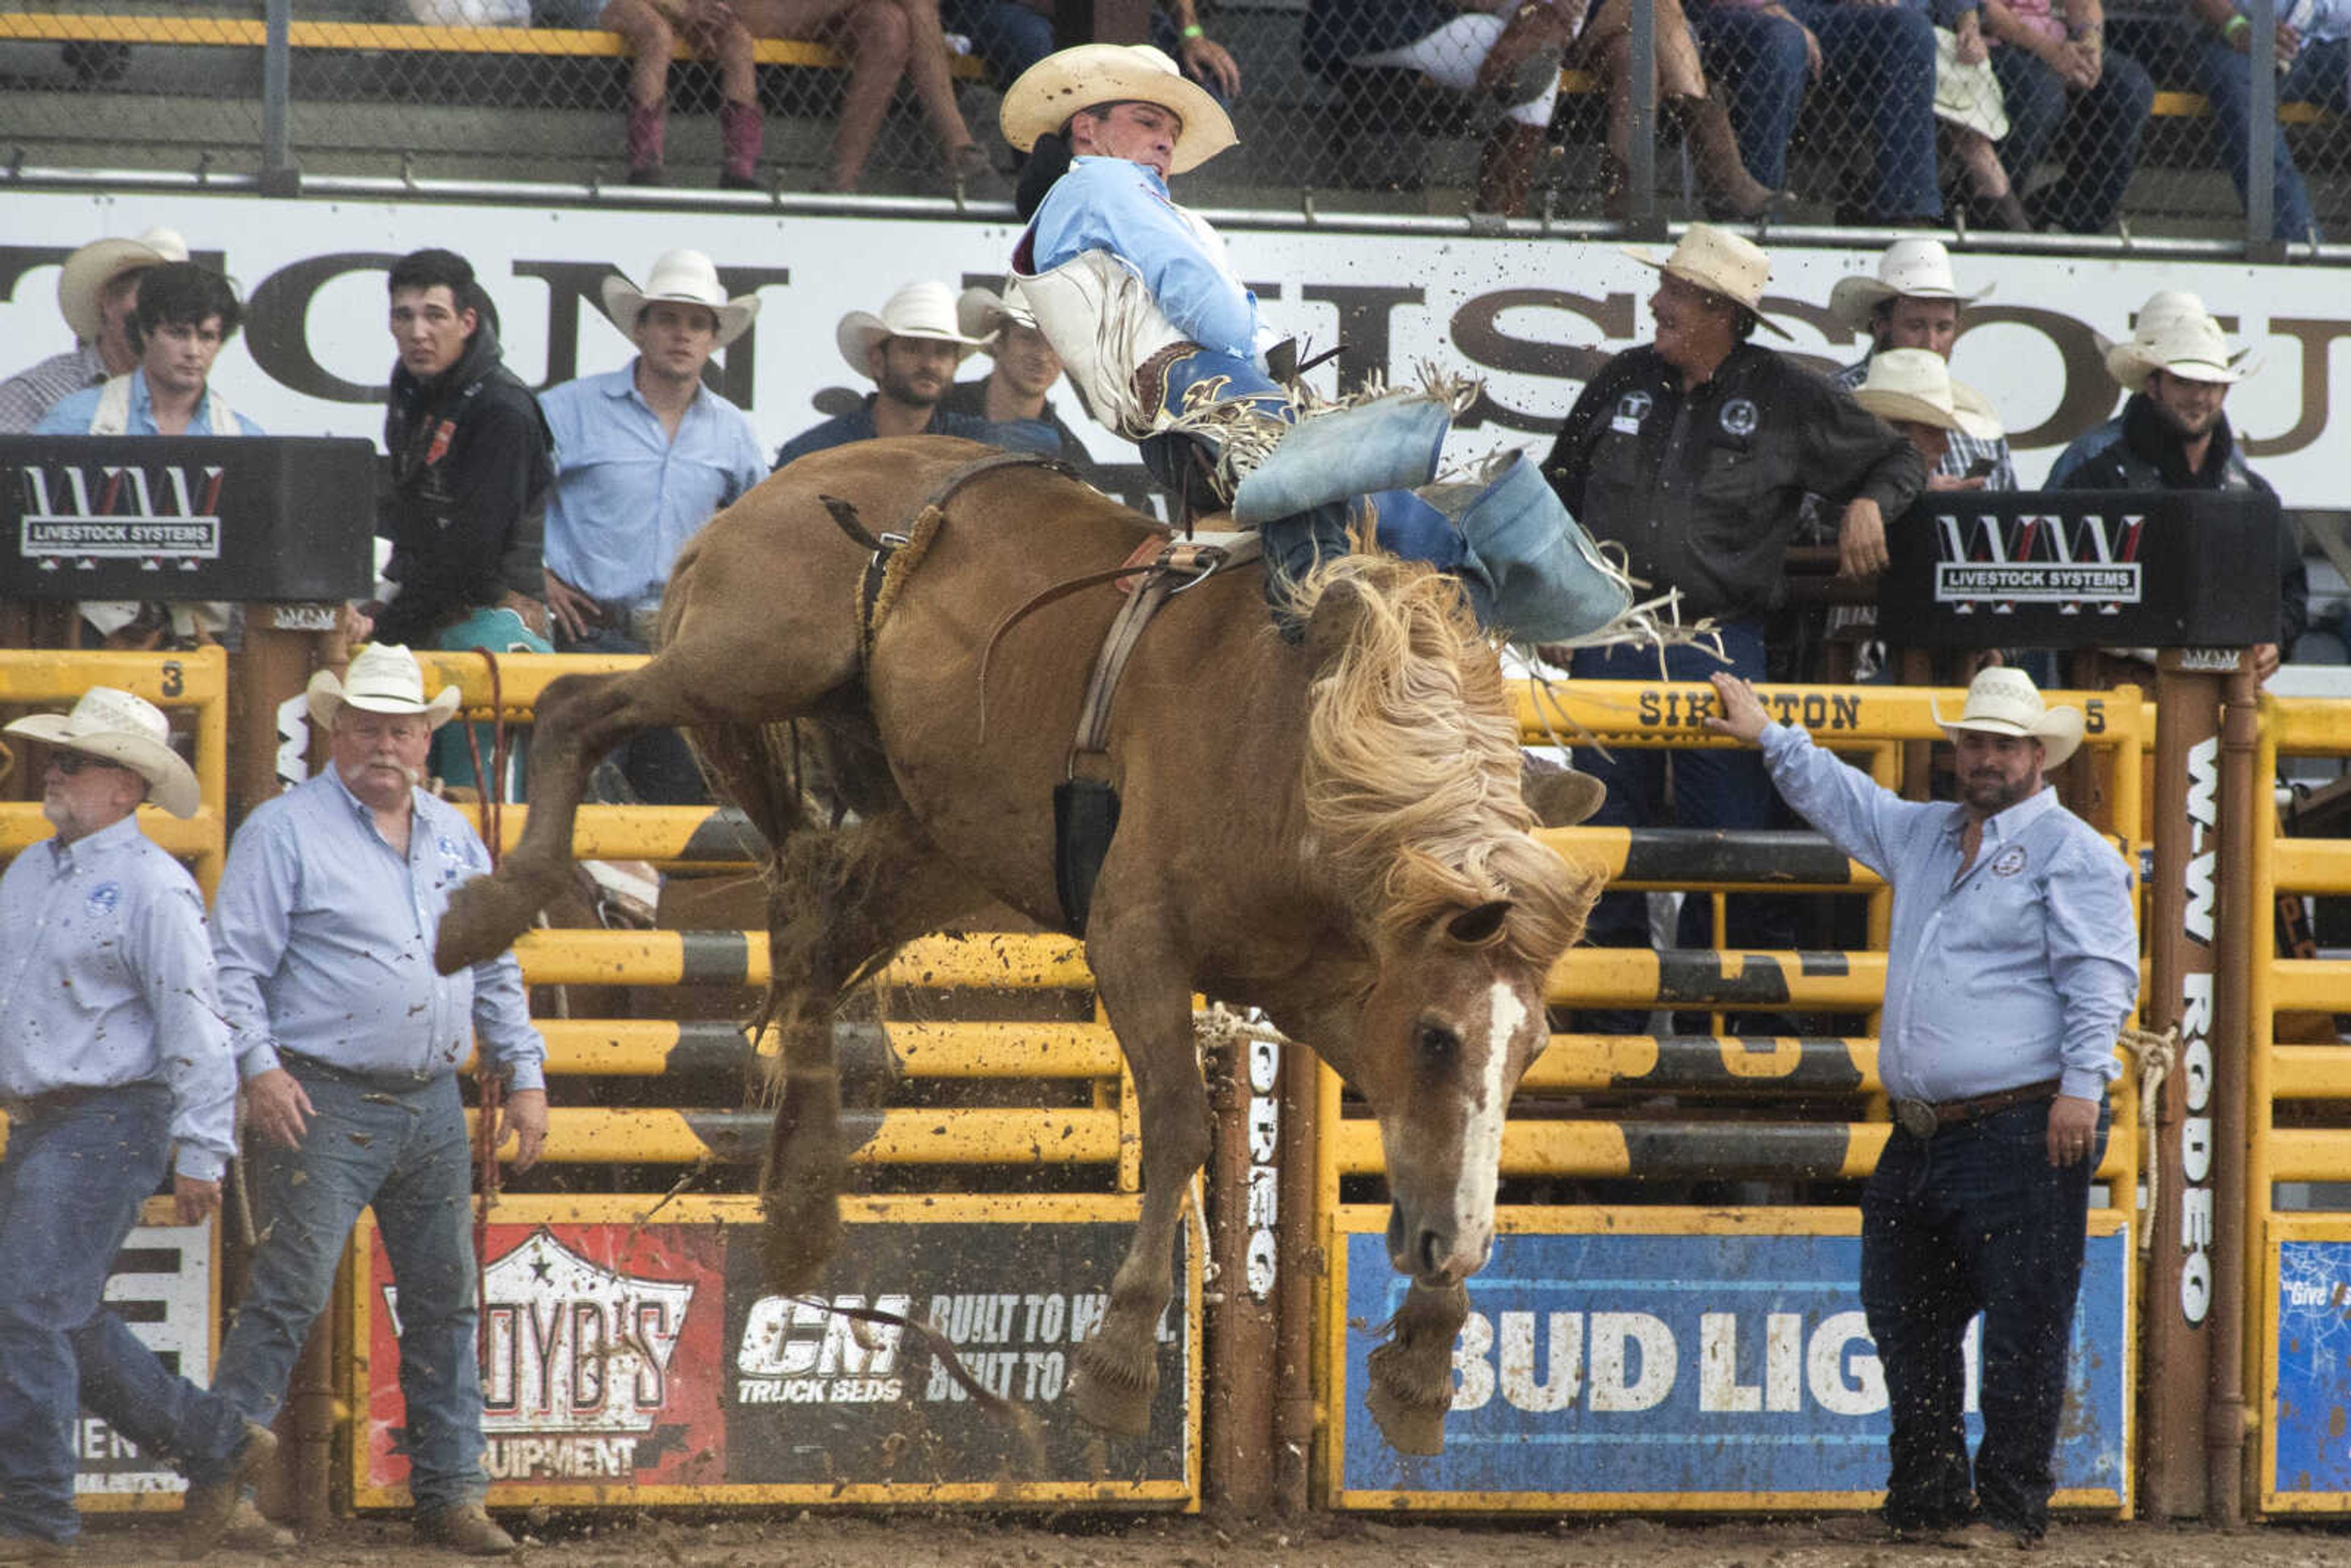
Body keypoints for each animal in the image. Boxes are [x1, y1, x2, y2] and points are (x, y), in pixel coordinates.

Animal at [435, 435, 1608, 1457]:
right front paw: (1121, 1360)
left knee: (815, 936)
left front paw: (1424, 1359)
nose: (1457, 1245)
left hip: (937, 837)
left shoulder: (1330, 995)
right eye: (1438, 1036)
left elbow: (1433, 1152)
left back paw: (802, 1214)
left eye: (1537, 1047)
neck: (1303, 758)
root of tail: (779, 483)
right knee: (578, 708)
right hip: (747, 662)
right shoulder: (1137, 941)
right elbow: (1180, 1124)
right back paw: (491, 908)